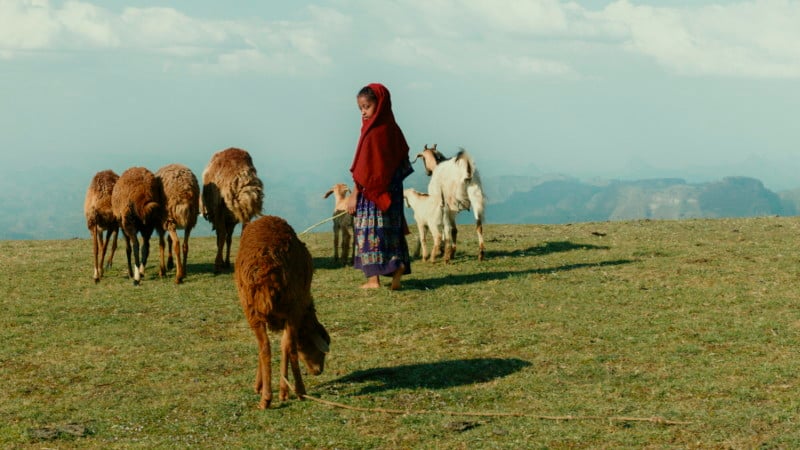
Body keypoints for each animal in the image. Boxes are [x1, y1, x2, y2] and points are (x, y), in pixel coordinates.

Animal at [235, 215, 330, 409]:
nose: (319, 371)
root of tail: (266, 270)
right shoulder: (295, 312)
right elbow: (286, 345)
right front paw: (284, 391)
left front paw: (265, 387)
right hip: (291, 305)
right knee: (288, 346)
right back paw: (299, 391)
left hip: (251, 310)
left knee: (265, 347)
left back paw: (266, 398)